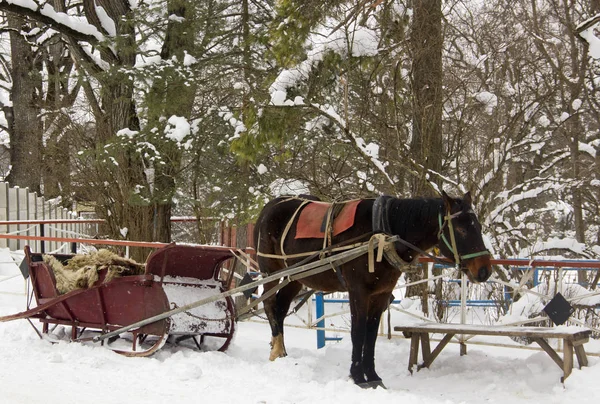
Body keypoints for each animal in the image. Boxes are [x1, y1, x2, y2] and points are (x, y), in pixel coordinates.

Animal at [253, 193, 492, 388]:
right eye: (461, 229)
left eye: (478, 227)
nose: (484, 270)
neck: (382, 234)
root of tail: (268, 207)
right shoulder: (358, 292)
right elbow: (358, 332)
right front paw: (358, 377)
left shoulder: (381, 294)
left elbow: (371, 335)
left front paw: (373, 376)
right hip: (270, 271)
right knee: (270, 305)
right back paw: (276, 351)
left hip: (295, 277)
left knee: (281, 308)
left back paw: (281, 351)